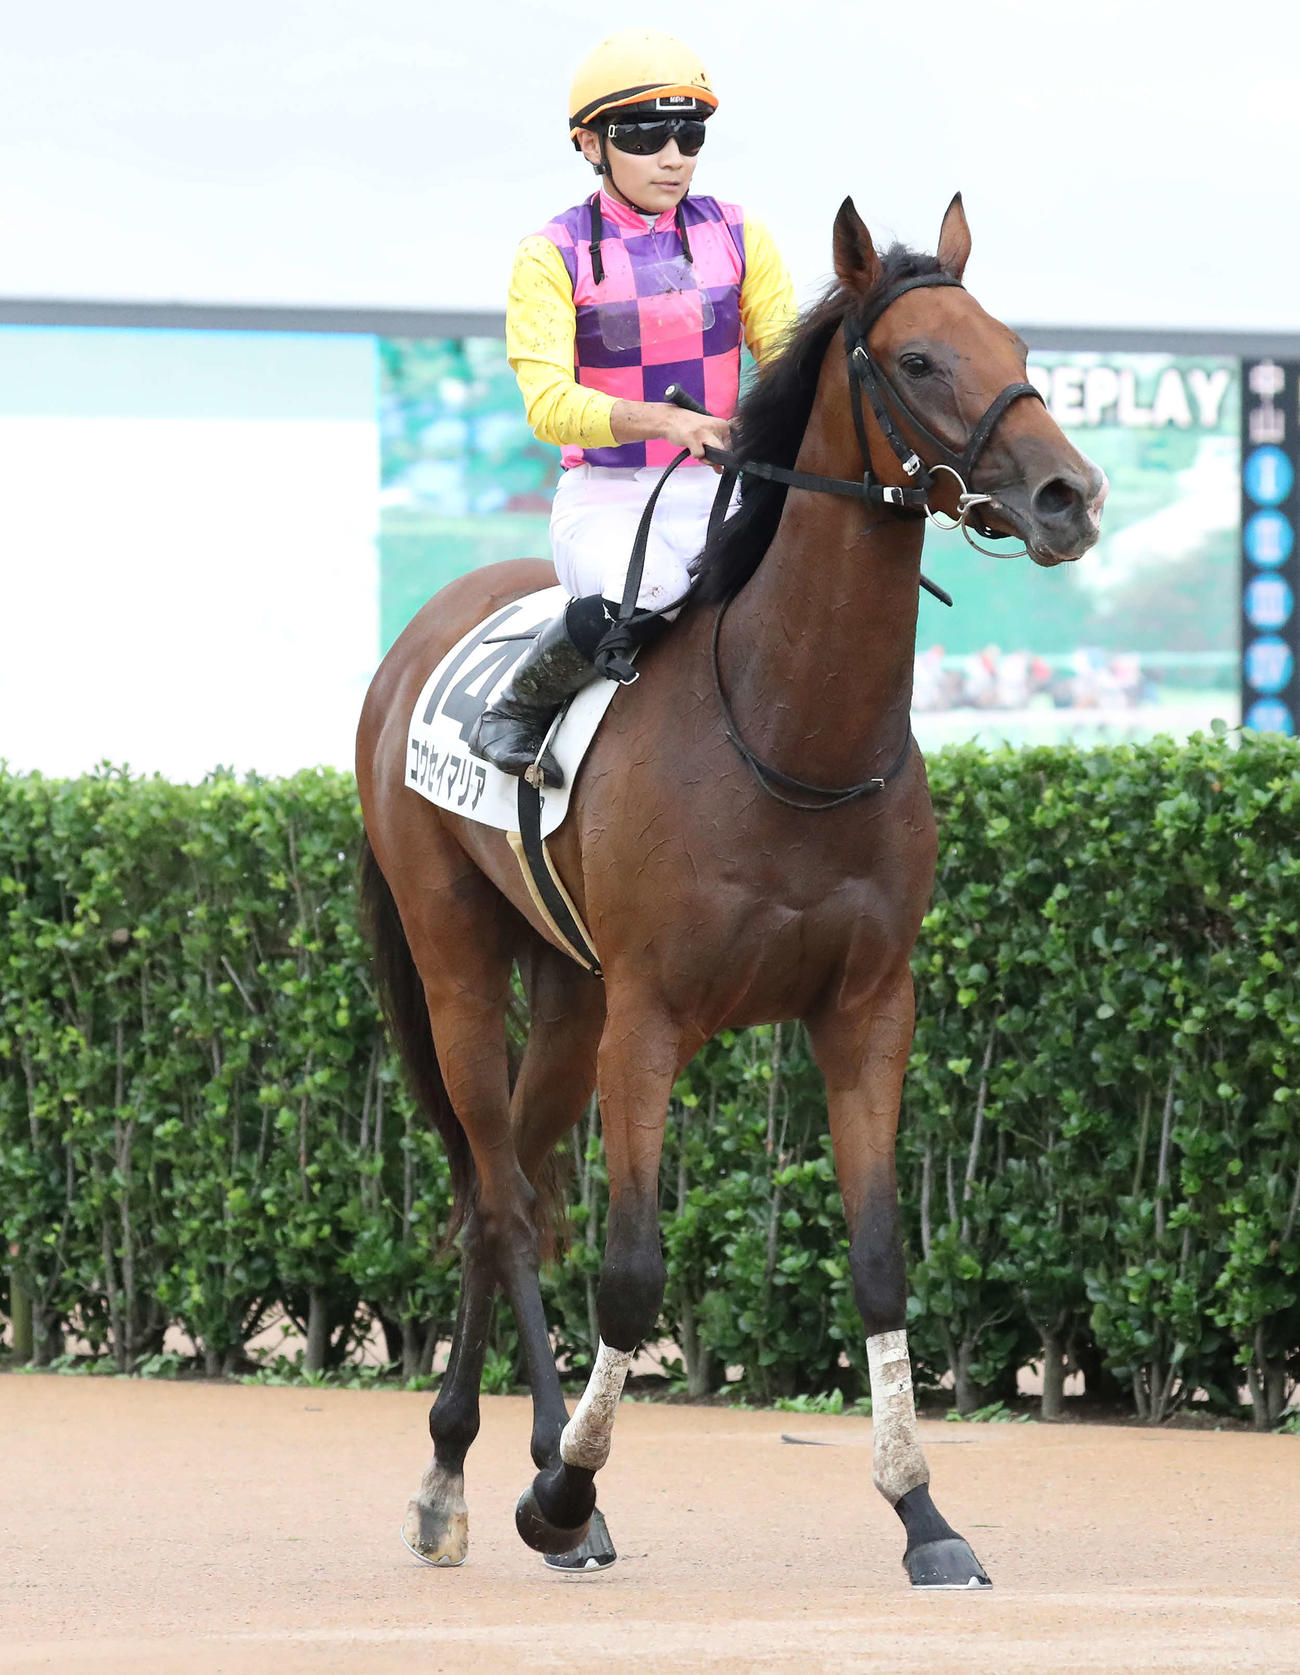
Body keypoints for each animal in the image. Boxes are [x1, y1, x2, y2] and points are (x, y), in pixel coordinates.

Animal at [356, 193, 1106, 1586]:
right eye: (918, 359)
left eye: (1016, 342)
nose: (1067, 495)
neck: (787, 730)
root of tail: (423, 634)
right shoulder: (652, 1019)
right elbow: (632, 1271)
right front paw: (565, 1488)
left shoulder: (866, 1009)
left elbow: (878, 1261)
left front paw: (924, 1516)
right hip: (459, 967)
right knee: (503, 1201)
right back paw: (508, 1481)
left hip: (570, 998)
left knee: (505, 1195)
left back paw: (477, 1473)